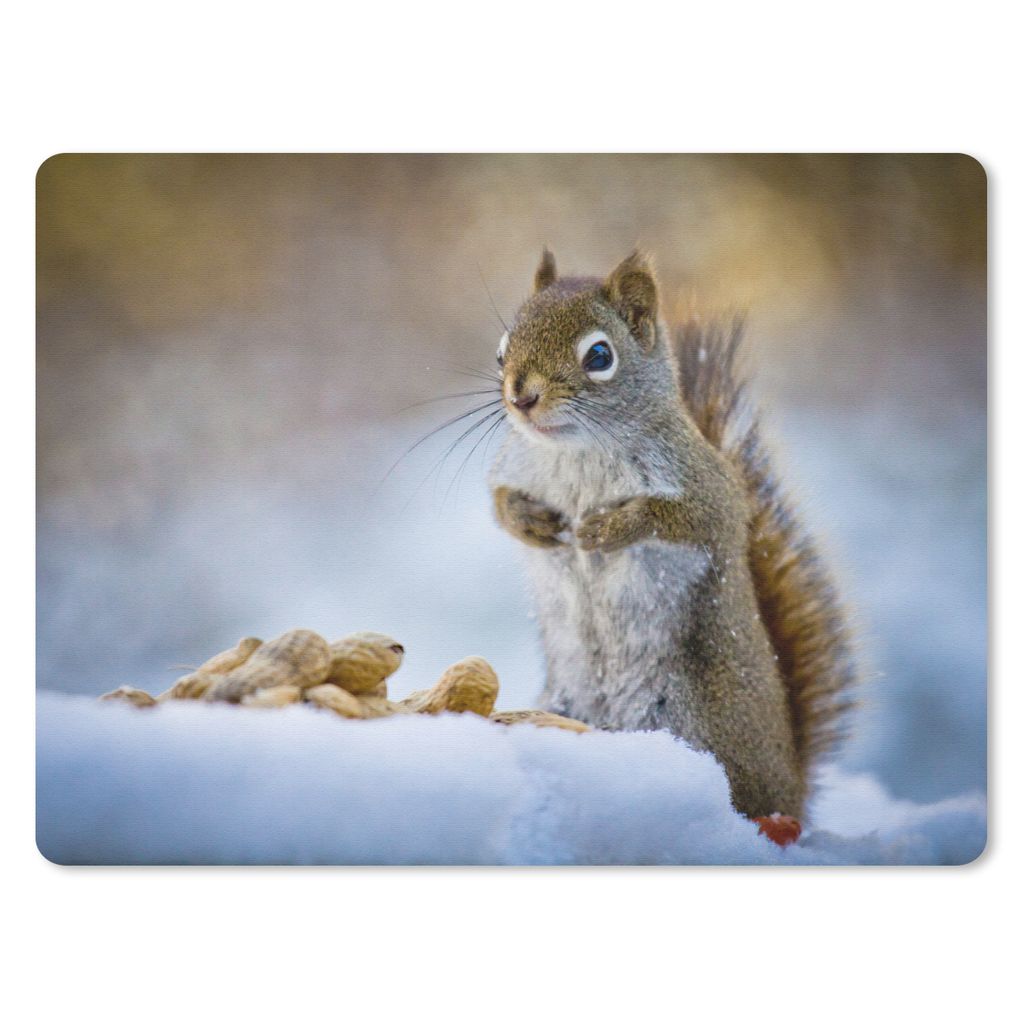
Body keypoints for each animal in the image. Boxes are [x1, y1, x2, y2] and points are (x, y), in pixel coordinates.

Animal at [487, 249, 856, 845]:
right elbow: (499, 503)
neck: (578, 451)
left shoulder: (709, 491)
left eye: (599, 355)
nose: (521, 398)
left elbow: (684, 518)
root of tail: (792, 784)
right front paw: (533, 523)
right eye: (501, 351)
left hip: (692, 724)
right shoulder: (512, 468)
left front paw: (606, 529)